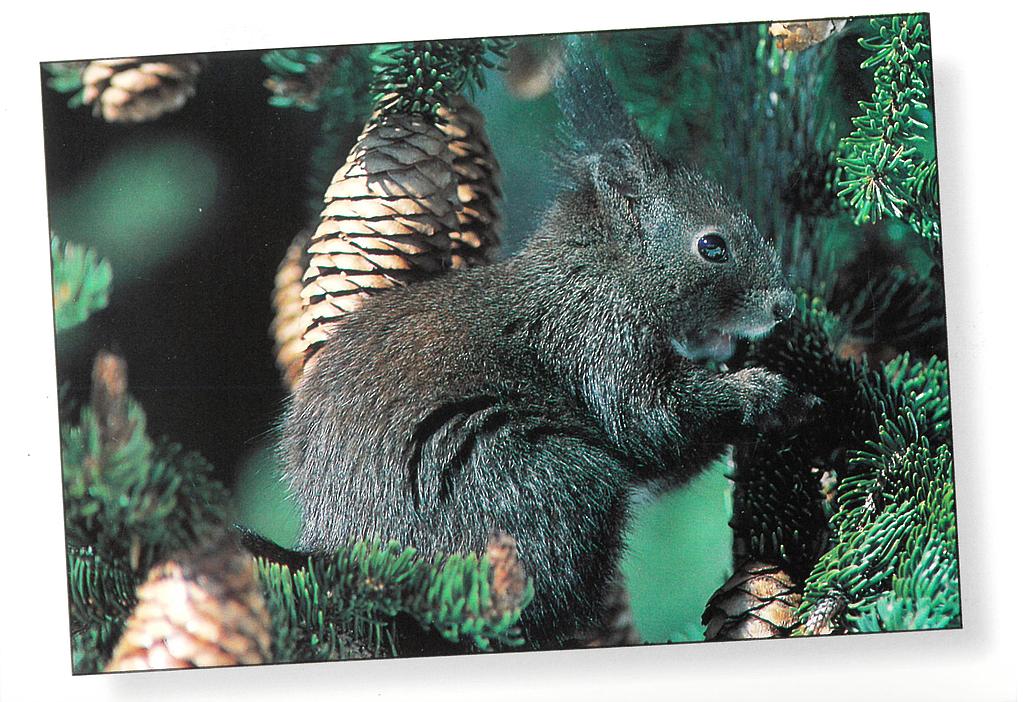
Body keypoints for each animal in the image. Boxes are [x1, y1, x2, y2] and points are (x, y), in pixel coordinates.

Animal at [279, 39, 812, 648]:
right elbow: (654, 423)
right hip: (541, 486)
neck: (608, 268)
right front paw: (764, 392)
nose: (784, 306)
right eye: (713, 246)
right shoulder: (600, 337)